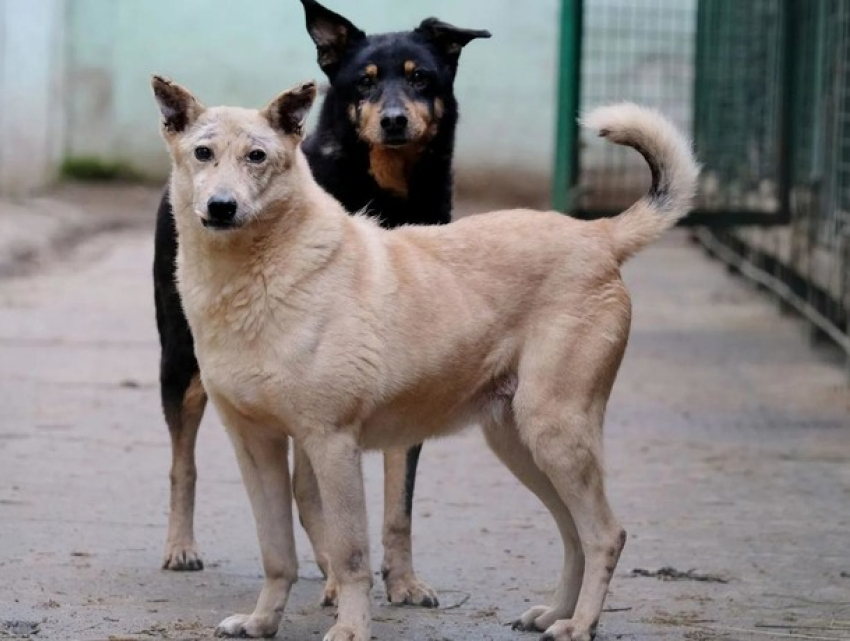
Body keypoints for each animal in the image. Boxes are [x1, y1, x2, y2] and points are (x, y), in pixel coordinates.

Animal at [149, 0, 486, 604]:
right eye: (364, 82)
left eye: (421, 77)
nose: (394, 119)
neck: (385, 194)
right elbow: (312, 492)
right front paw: (342, 579)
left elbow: (399, 500)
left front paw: (403, 580)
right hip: (181, 360)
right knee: (183, 462)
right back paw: (183, 547)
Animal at [151, 76, 696, 640]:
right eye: (203, 153)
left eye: (256, 156)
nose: (221, 206)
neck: (257, 275)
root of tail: (598, 234)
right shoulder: (255, 446)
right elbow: (276, 551)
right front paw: (261, 622)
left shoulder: (332, 444)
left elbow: (350, 555)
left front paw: (351, 628)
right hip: (521, 444)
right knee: (573, 534)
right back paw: (554, 613)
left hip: (556, 434)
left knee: (606, 534)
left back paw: (579, 625)